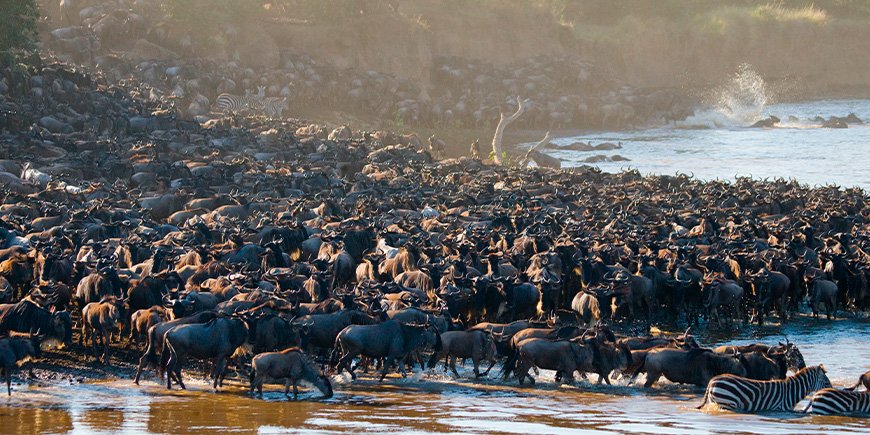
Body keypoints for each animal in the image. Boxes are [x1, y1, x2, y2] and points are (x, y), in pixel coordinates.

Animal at [700, 364, 836, 412]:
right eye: (826, 382)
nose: (832, 391)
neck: (792, 391)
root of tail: (712, 380)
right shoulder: (781, 408)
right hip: (727, 402)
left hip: (715, 401)